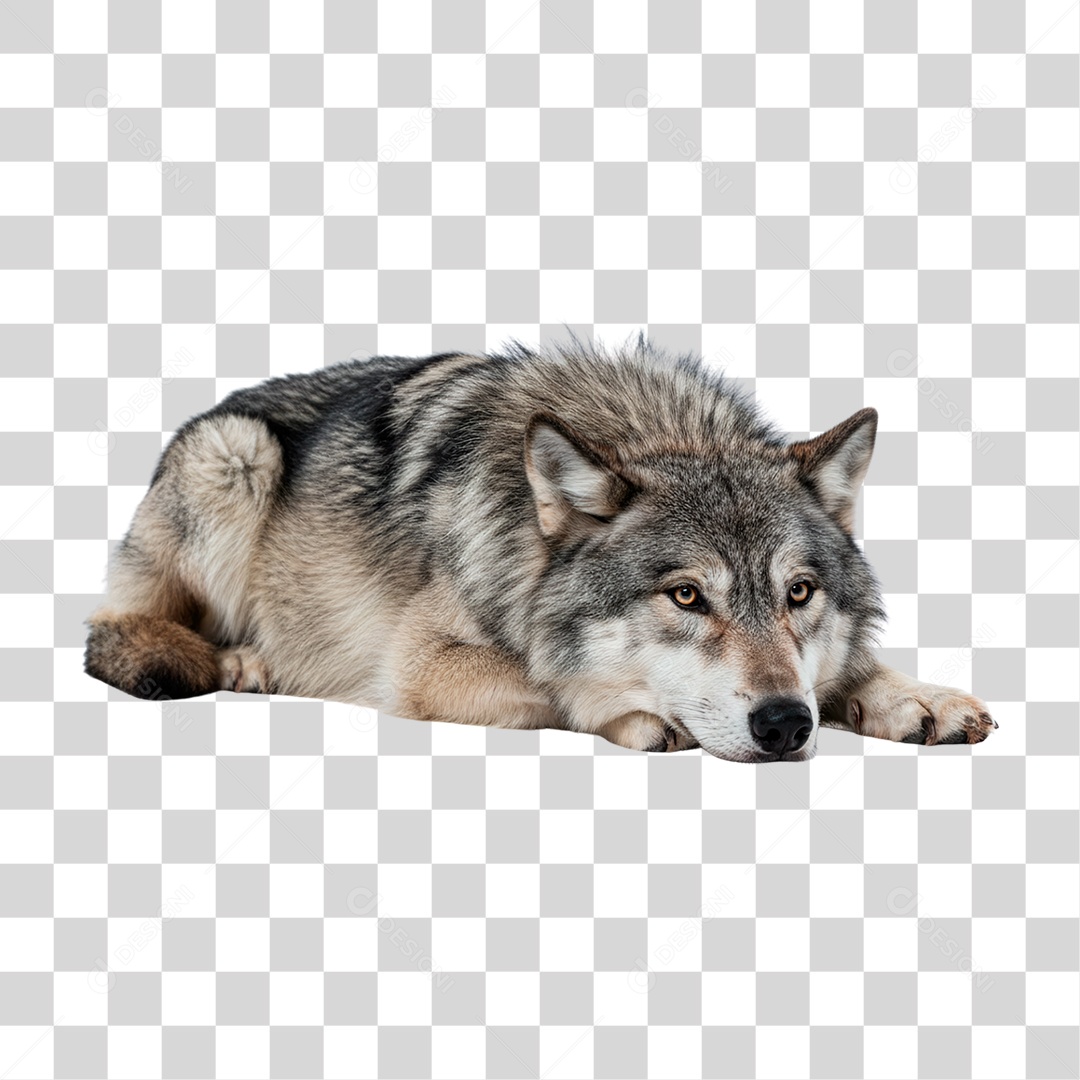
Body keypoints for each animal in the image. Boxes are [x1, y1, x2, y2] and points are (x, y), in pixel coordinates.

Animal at [84, 339, 996, 762]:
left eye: (798, 593)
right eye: (687, 596)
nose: (783, 724)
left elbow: (849, 668)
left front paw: (915, 697)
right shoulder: (420, 664)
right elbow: (553, 683)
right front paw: (638, 717)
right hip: (235, 456)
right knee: (113, 632)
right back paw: (242, 662)